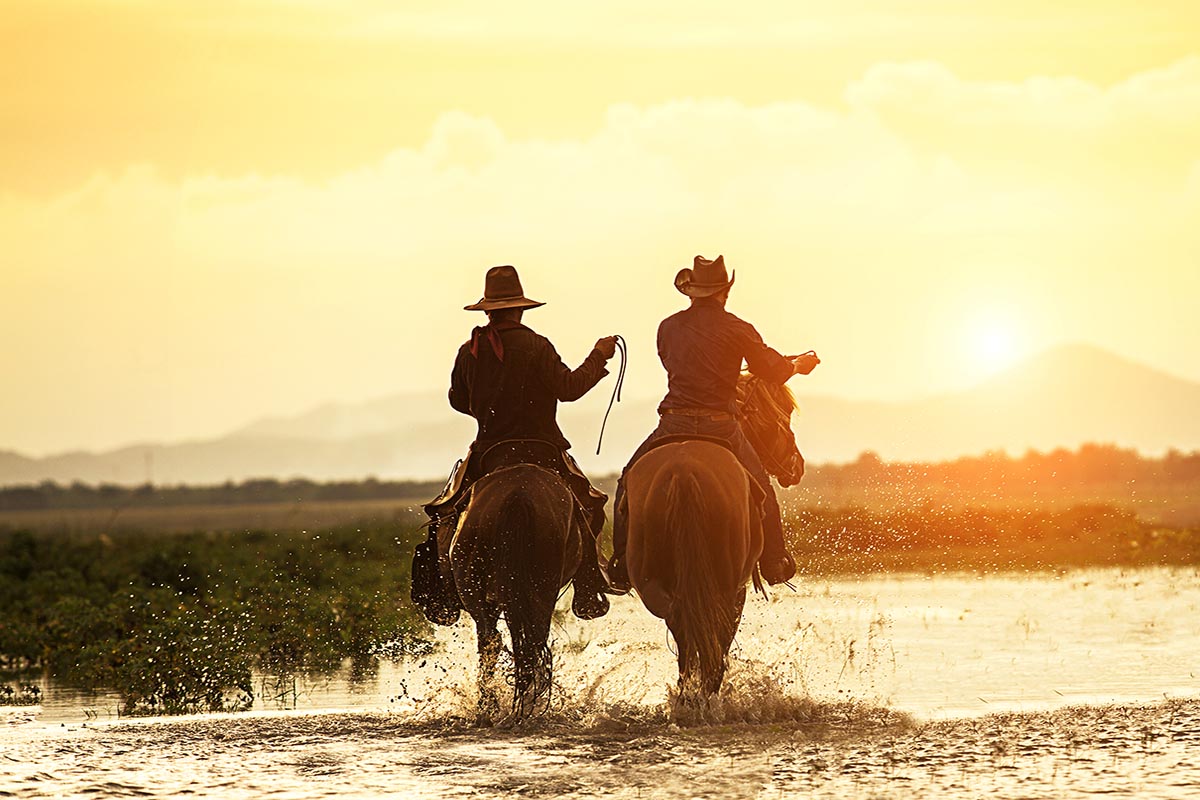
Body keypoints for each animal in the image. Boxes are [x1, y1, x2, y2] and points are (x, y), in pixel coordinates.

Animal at [446, 460, 585, 724]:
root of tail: (517, 497)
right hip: (539, 590)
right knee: (528, 642)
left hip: (478, 589)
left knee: (494, 641)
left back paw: (490, 708)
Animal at [624, 374, 801, 700]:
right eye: (782, 413)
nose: (797, 465)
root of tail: (683, 472)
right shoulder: (738, 590)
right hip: (726, 585)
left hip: (651, 583)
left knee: (682, 621)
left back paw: (687, 690)